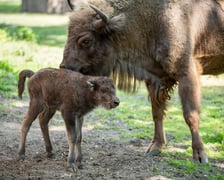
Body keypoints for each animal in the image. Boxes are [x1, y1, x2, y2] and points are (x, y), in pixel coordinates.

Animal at [60, 0, 224, 163]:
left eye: (86, 40)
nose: (64, 67)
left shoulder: (187, 74)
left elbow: (190, 115)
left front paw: (200, 155)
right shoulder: (155, 80)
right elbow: (156, 113)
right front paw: (155, 147)